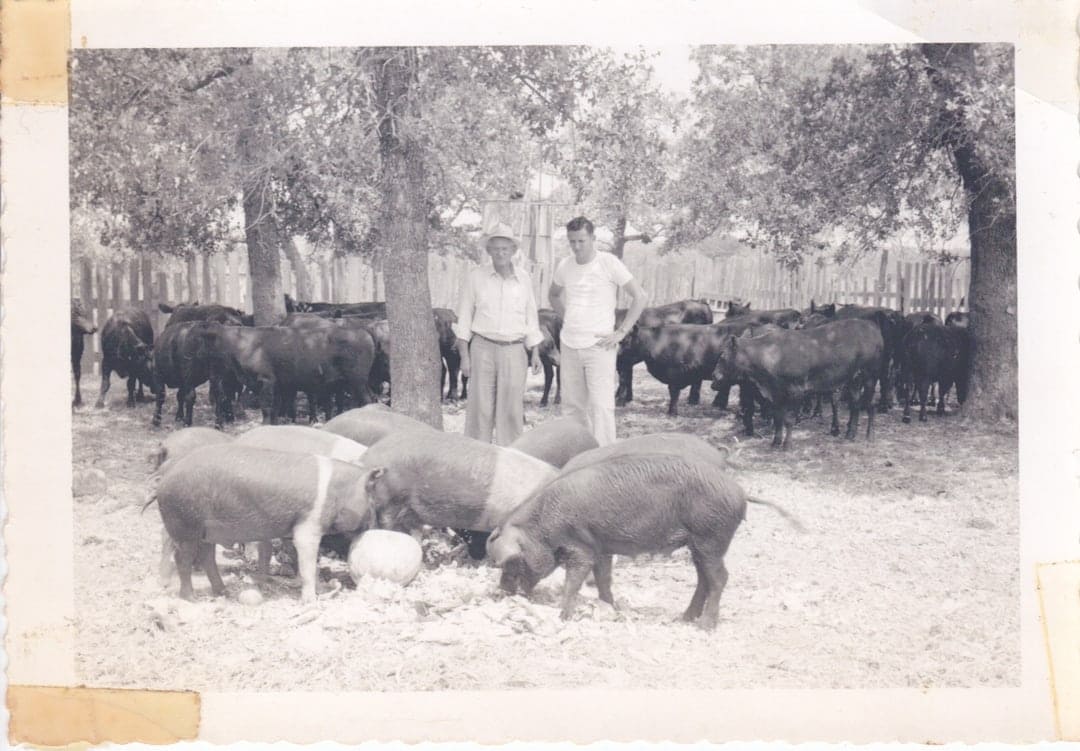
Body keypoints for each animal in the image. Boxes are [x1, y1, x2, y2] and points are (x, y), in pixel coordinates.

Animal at [147, 443, 375, 600]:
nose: (374, 523)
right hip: (185, 525)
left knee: (207, 557)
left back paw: (223, 592)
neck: (338, 491)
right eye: (371, 499)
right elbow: (308, 564)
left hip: (206, 531)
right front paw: (310, 600)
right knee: (182, 558)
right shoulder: (308, 525)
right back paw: (191, 597)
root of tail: (164, 480)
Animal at [712, 319, 881, 449]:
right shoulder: (776, 392)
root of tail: (872, 327)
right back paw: (850, 434)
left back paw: (870, 436)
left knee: (871, 404)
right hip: (854, 379)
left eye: (722, 356)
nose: (714, 375)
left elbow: (789, 419)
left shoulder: (796, 390)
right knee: (855, 404)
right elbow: (778, 418)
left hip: (870, 375)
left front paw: (787, 445)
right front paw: (775, 442)